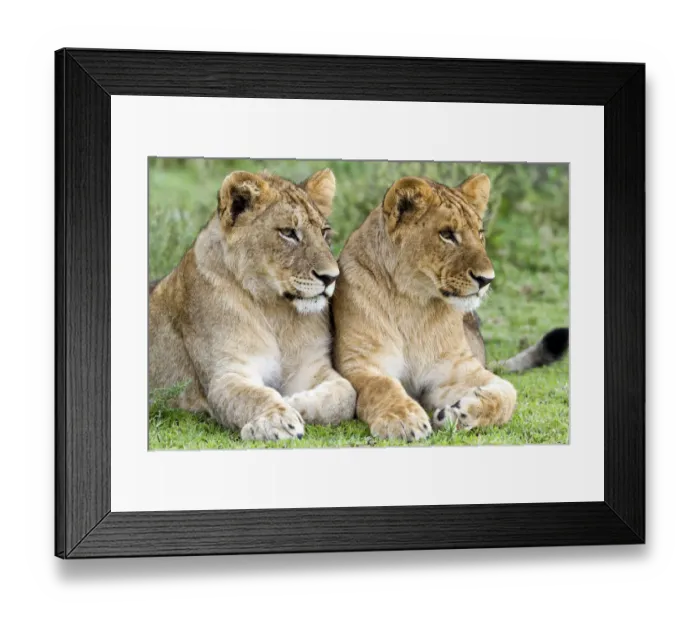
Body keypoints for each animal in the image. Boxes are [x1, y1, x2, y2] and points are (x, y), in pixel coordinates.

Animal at [149, 168, 356, 442]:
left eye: (324, 232)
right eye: (288, 232)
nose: (332, 277)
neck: (276, 310)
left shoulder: (312, 366)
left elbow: (346, 395)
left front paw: (294, 401)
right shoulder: (226, 374)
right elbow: (255, 395)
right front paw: (278, 421)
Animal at [332, 173, 567, 441]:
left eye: (480, 233)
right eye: (447, 234)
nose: (487, 279)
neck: (413, 304)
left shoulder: (456, 369)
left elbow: (507, 393)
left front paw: (460, 413)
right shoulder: (359, 364)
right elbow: (382, 385)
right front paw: (403, 420)